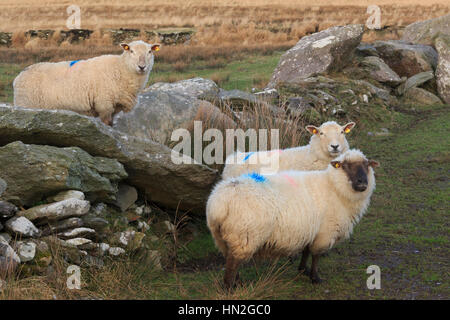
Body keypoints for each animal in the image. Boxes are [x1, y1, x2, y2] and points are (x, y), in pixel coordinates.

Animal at [13, 39, 161, 124]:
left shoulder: (114, 107)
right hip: (27, 105)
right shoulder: (104, 104)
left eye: (150, 51)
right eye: (131, 50)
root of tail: (19, 76)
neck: (120, 68)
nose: (142, 66)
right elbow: (107, 124)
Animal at [207, 149, 380, 288]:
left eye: (367, 165)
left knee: (230, 259)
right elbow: (316, 255)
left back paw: (238, 282)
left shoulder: (311, 230)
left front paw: (303, 269)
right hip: (245, 235)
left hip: (223, 237)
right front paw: (315, 278)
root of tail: (218, 204)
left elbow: (306, 251)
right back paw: (230, 287)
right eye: (345, 166)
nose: (362, 182)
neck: (335, 188)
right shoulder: (325, 232)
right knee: (233, 263)